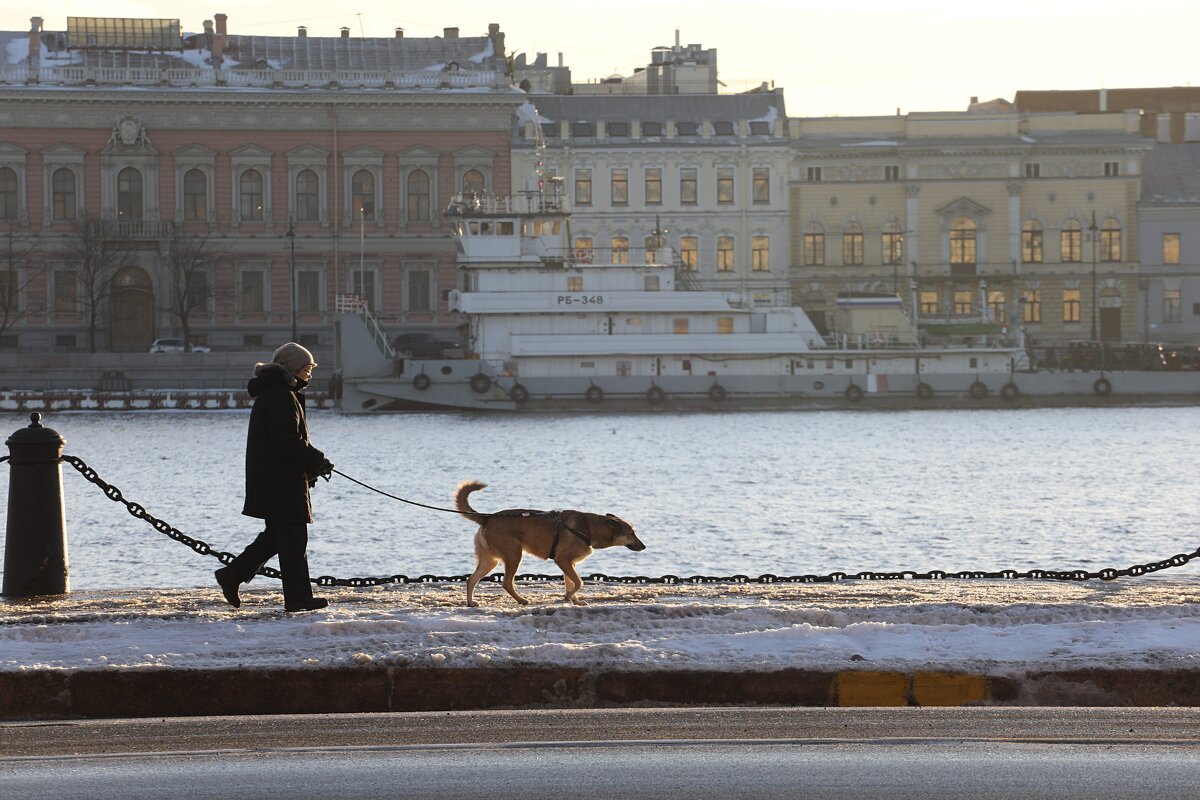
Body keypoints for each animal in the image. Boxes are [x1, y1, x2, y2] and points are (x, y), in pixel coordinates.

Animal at [456, 482, 648, 606]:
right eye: (631, 533)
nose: (644, 546)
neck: (589, 527)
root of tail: (487, 518)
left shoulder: (569, 563)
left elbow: (572, 582)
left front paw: (573, 600)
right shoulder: (563, 560)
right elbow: (579, 582)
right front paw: (569, 596)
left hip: (490, 560)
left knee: (471, 580)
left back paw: (471, 602)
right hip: (514, 555)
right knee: (506, 583)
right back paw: (521, 600)